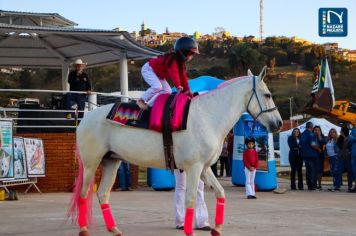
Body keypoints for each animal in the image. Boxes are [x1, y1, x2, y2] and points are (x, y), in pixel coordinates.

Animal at [68, 71, 282, 236]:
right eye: (267, 94)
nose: (278, 123)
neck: (208, 116)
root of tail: (86, 118)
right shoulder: (194, 168)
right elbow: (190, 200)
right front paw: (189, 231)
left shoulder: (204, 169)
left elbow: (220, 193)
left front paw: (216, 228)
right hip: (91, 164)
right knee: (84, 194)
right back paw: (84, 229)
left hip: (112, 162)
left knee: (103, 194)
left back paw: (114, 229)